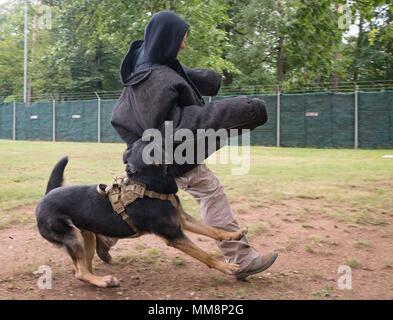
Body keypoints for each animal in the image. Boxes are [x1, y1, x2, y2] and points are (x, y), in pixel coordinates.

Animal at [36, 158, 245, 288]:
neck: (151, 185)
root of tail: (45, 197)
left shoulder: (183, 221)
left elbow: (213, 230)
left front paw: (233, 234)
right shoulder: (174, 236)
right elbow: (205, 256)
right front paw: (227, 267)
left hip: (86, 235)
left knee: (84, 267)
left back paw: (100, 279)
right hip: (73, 236)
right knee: (79, 272)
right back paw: (104, 282)